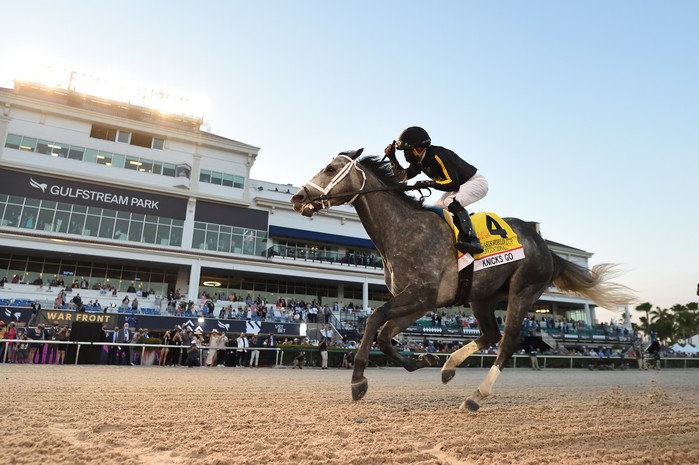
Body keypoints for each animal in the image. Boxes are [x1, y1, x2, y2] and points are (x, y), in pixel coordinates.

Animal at [290, 149, 634, 411]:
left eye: (331, 168)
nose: (298, 197)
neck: (402, 230)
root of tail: (546, 248)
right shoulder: (421, 302)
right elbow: (385, 336)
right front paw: (426, 357)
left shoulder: (421, 295)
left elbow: (374, 319)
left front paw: (358, 380)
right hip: (482, 296)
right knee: (491, 333)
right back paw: (448, 366)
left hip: (524, 290)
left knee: (508, 342)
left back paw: (476, 396)